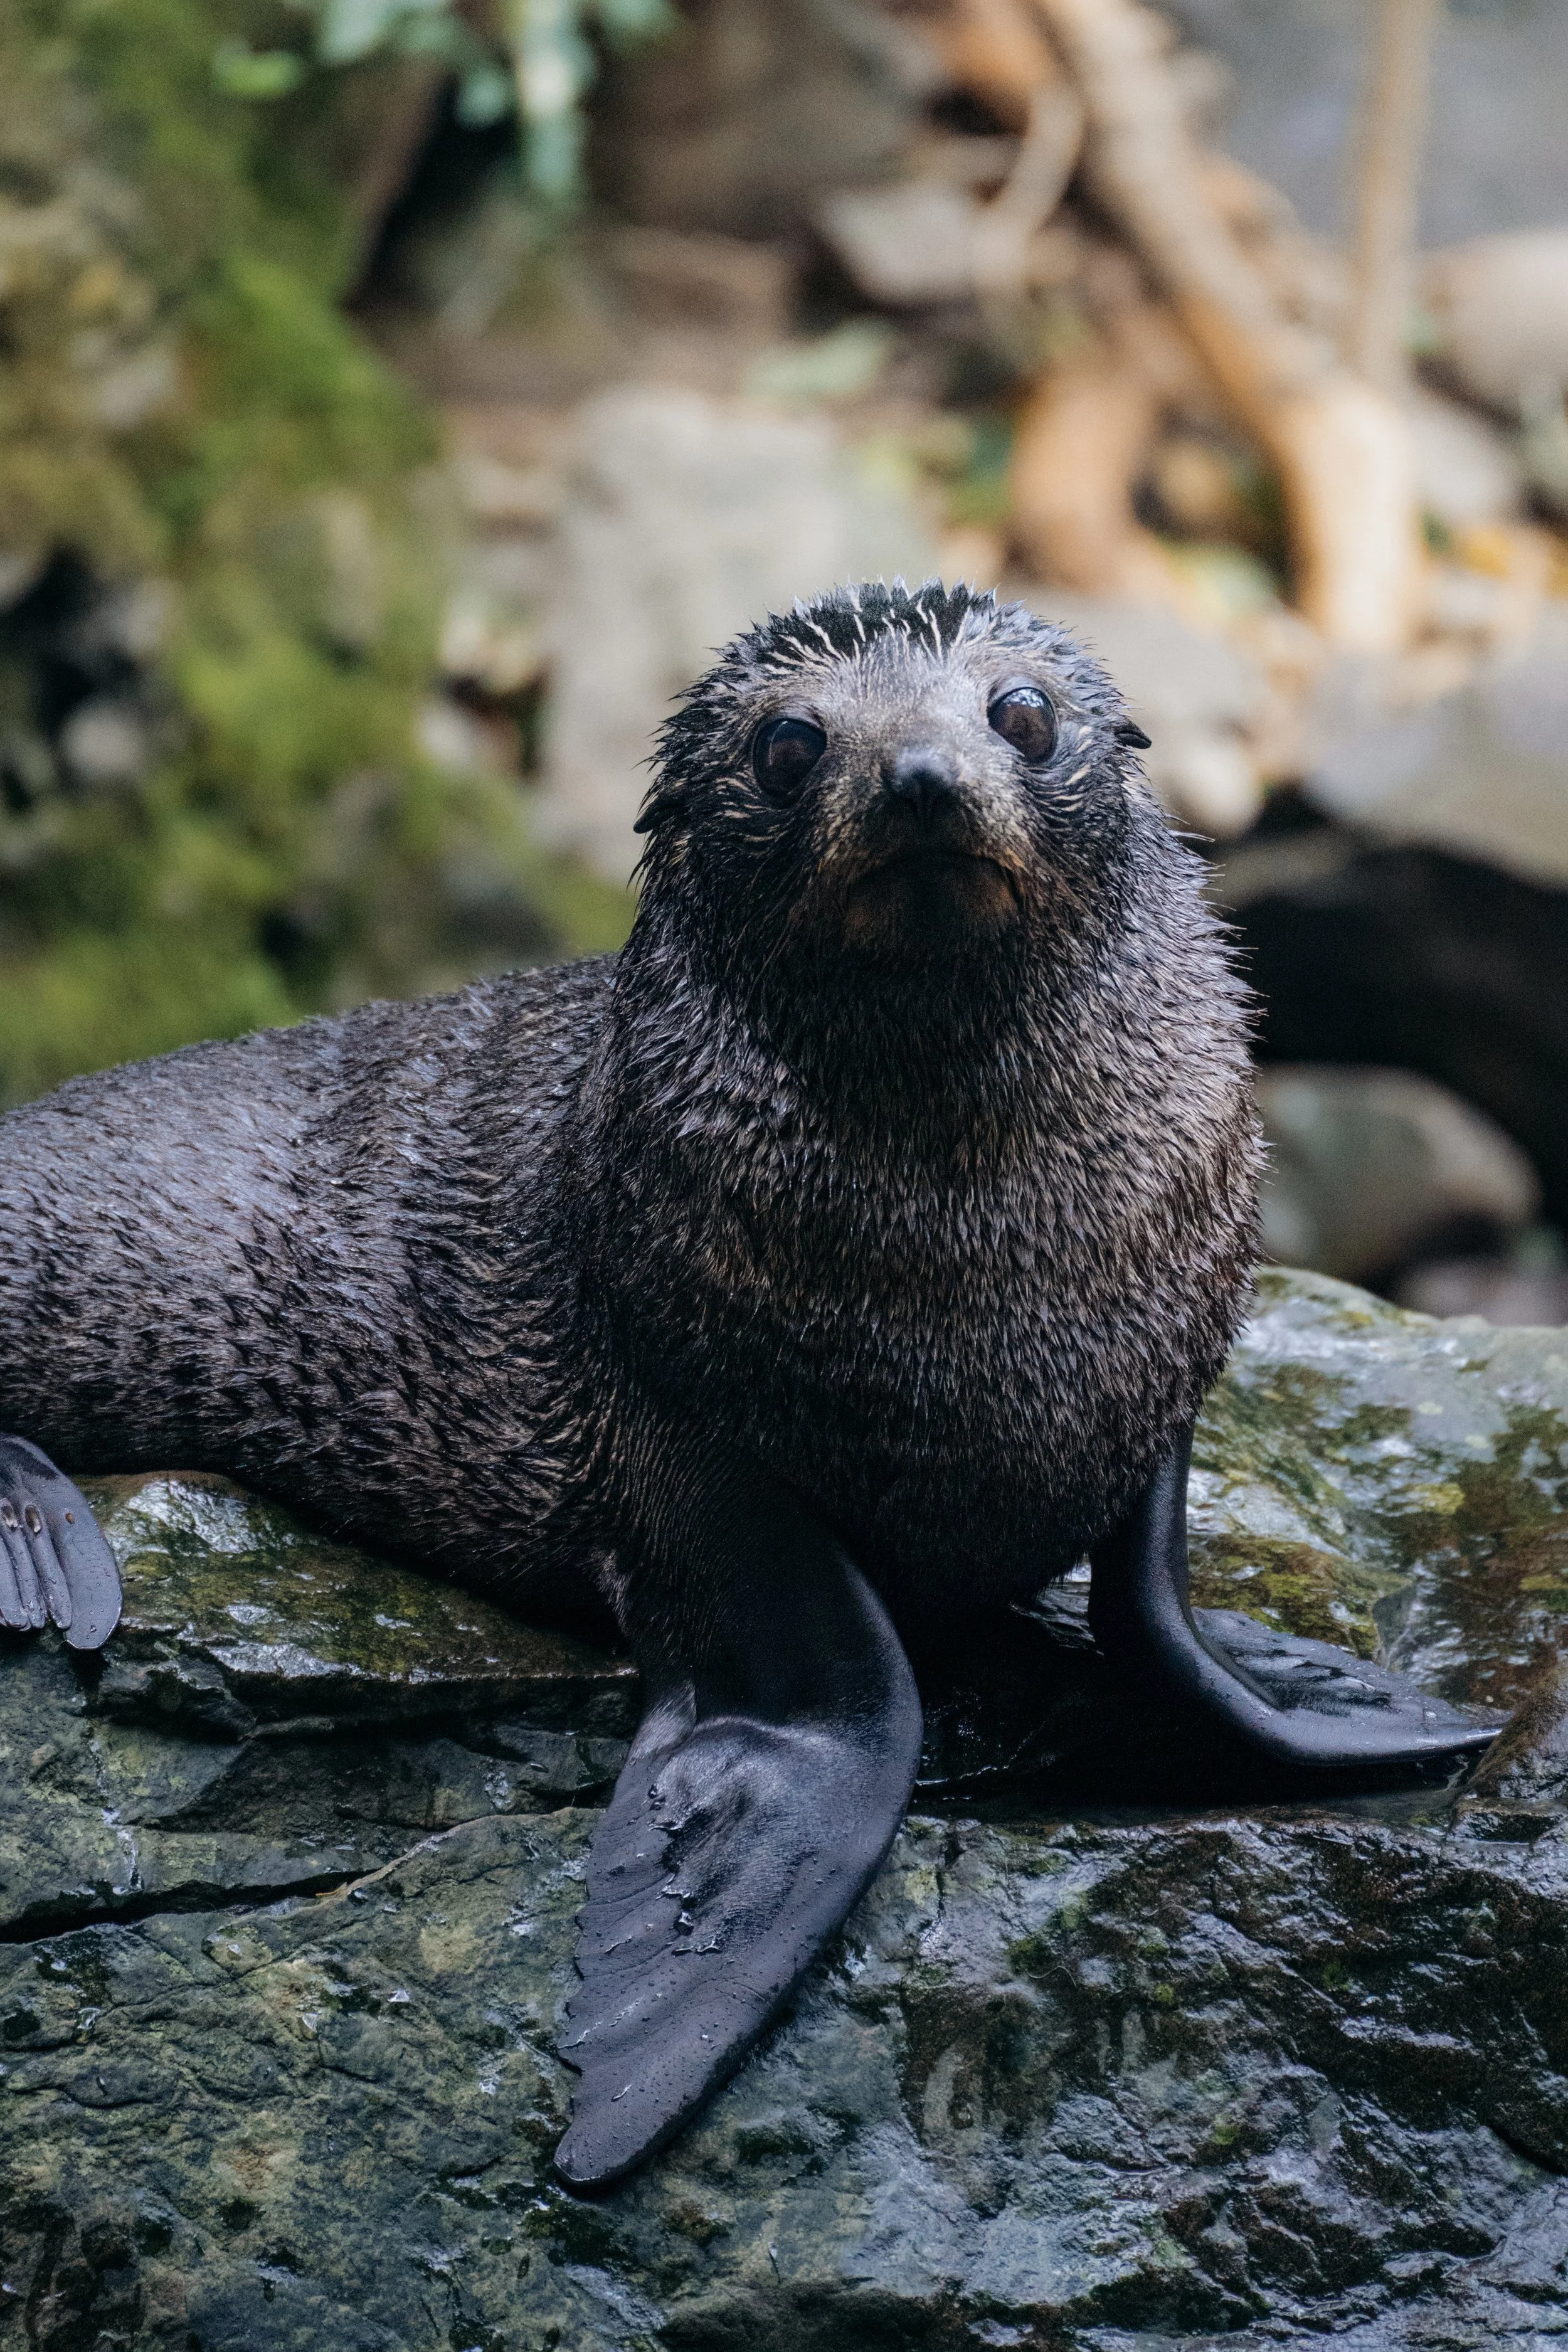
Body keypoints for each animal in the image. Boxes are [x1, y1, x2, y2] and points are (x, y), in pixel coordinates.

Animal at [0, 581, 1492, 2187]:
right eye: (789, 747)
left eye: (1022, 712)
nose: (917, 778)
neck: (987, 1252)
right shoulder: (680, 1431)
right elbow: (841, 1689)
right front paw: (687, 1957)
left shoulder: (1163, 1375)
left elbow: (1155, 1608)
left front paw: (1345, 1703)